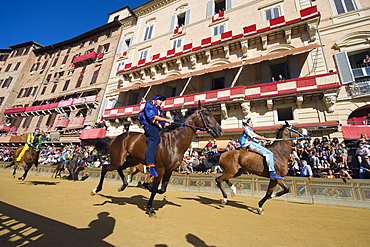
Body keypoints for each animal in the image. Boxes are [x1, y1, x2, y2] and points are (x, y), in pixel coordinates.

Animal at [89, 104, 223, 218]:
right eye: (206, 114)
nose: (219, 130)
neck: (174, 142)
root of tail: (115, 138)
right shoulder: (160, 169)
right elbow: (154, 189)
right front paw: (150, 208)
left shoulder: (169, 171)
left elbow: (161, 189)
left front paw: (147, 187)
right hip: (118, 159)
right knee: (105, 168)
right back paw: (96, 190)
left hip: (131, 161)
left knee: (120, 169)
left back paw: (123, 186)